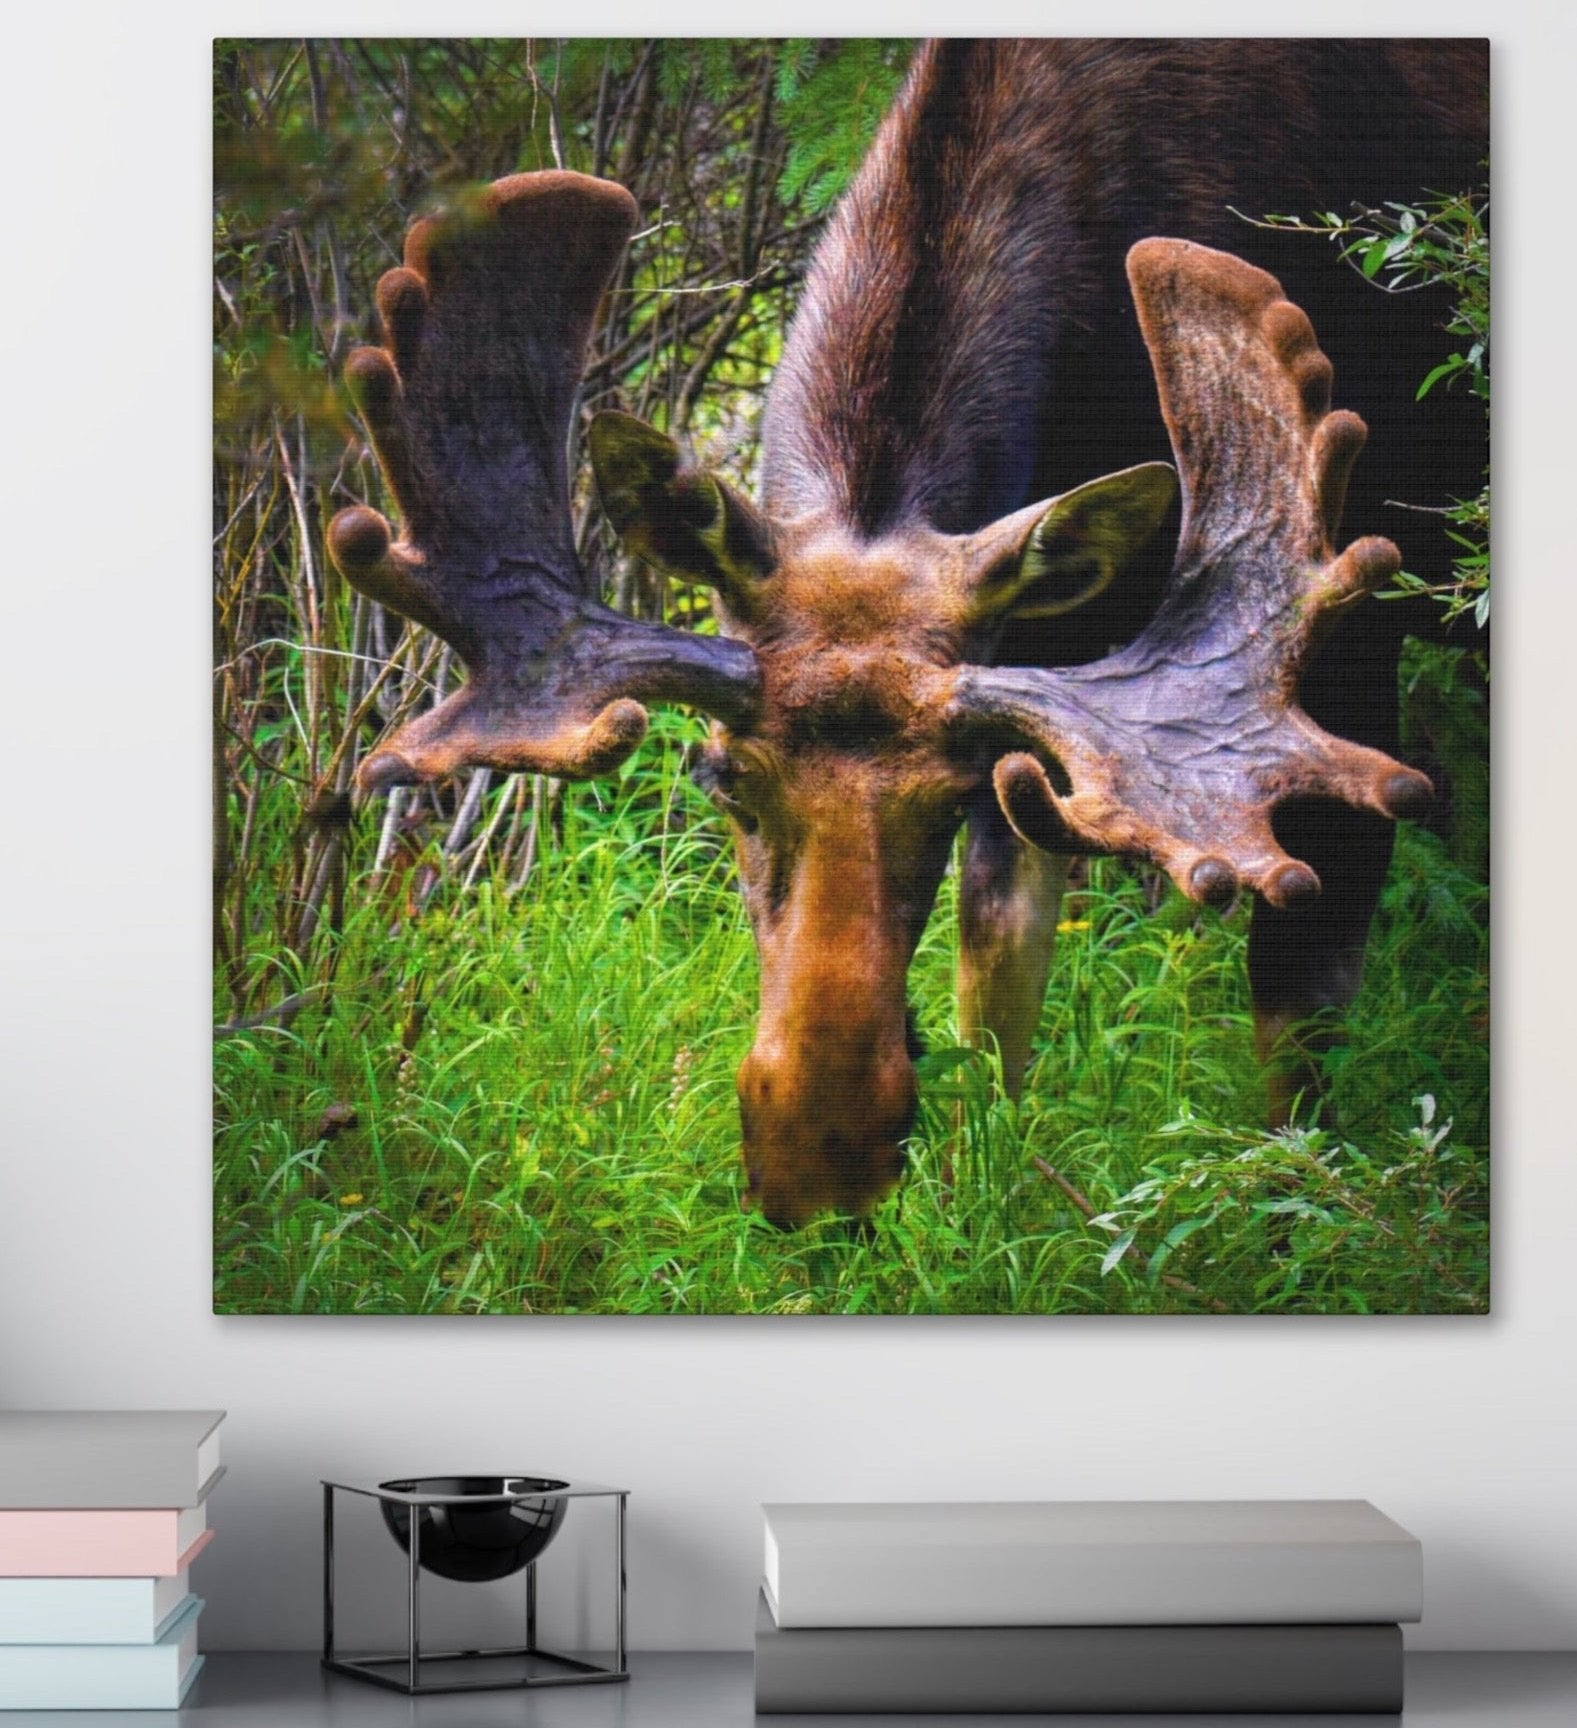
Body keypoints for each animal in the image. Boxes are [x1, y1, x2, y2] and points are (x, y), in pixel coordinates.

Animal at [328, 40, 1486, 1229]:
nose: (819, 1166)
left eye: (942, 795)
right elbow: (998, 975)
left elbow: (1298, 1027)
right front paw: (988, 1187)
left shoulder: (1339, 653)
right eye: (721, 778)